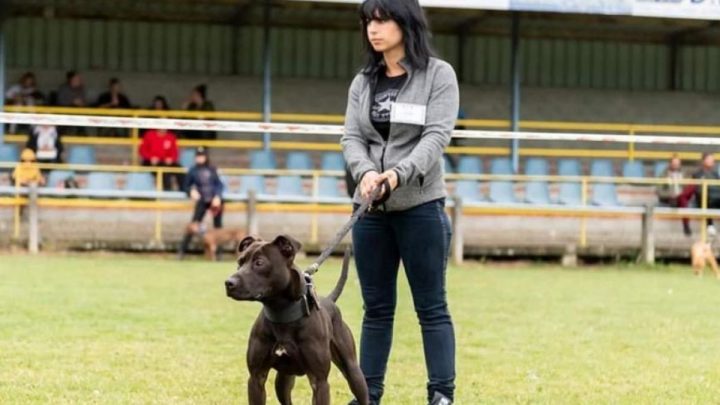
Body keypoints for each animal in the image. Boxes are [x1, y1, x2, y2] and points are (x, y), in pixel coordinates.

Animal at [225, 234, 368, 404]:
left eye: (259, 262)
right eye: (239, 262)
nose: (228, 283)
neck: (281, 313)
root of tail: (330, 300)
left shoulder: (319, 381)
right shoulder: (256, 378)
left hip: (353, 372)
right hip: (283, 380)